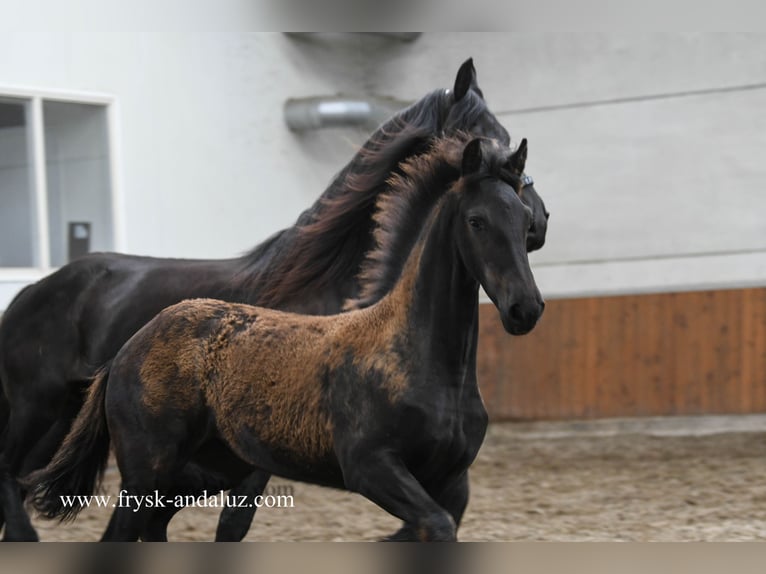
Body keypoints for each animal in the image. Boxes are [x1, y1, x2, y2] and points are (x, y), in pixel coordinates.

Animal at [0, 58, 547, 542]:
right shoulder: (346, 464)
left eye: (522, 221)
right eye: (484, 129)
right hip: (47, 413)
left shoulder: (443, 477)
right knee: (17, 478)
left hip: (96, 431)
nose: (540, 220)